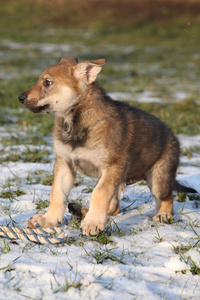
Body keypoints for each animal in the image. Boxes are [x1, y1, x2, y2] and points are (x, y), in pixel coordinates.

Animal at [18, 55, 196, 234]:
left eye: (47, 82)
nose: (20, 98)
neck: (75, 122)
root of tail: (174, 138)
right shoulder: (64, 163)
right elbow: (57, 194)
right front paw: (49, 219)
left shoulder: (112, 167)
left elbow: (99, 193)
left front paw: (92, 223)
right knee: (114, 207)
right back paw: (80, 209)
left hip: (158, 179)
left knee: (167, 197)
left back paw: (163, 215)